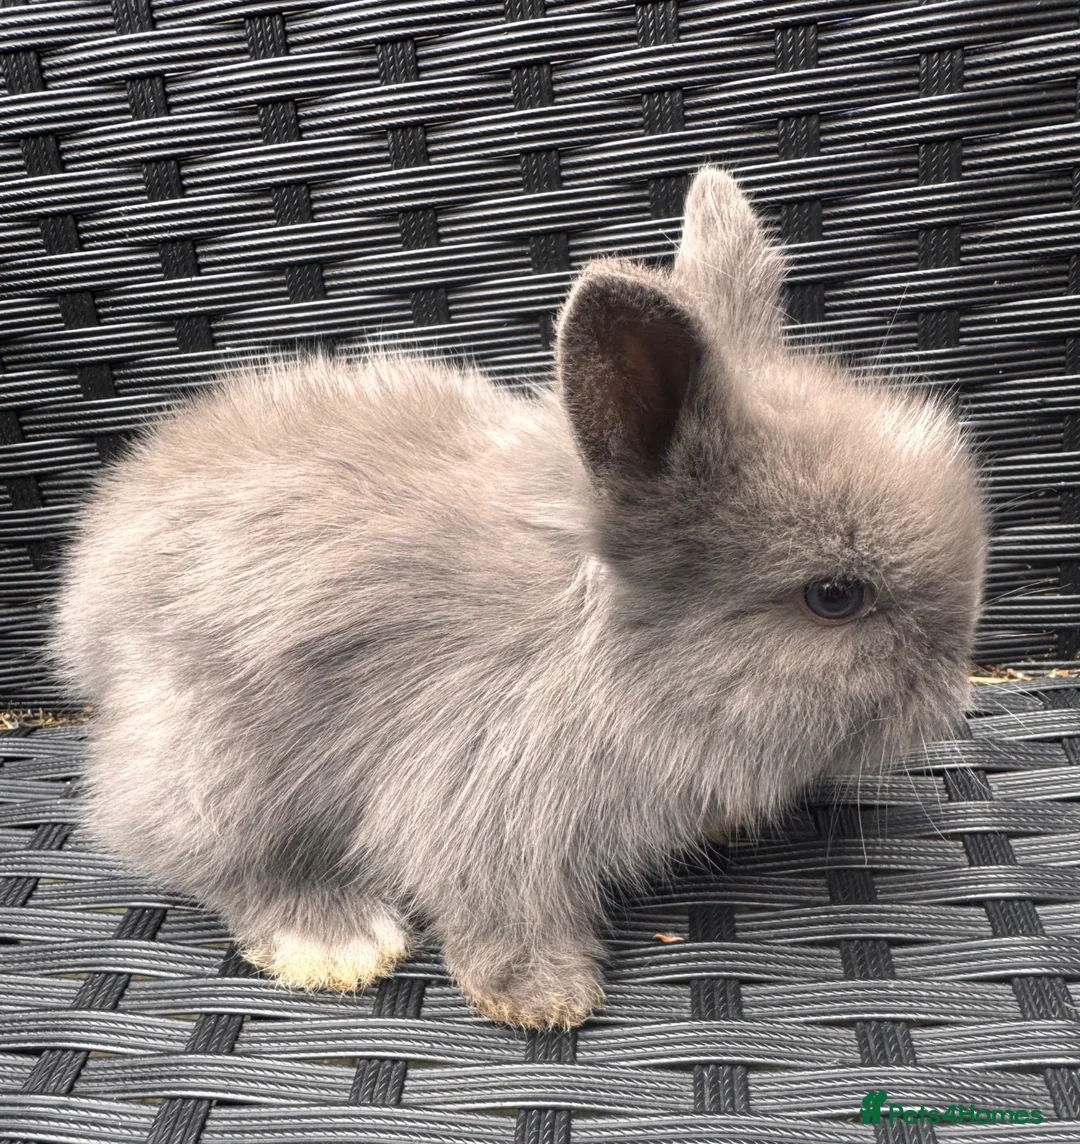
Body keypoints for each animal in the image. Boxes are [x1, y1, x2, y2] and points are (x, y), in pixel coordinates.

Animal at [50, 166, 986, 1029]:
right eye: (834, 597)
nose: (953, 700)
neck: (604, 649)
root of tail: (85, 598)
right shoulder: (482, 786)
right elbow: (498, 901)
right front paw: (544, 999)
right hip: (213, 751)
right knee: (178, 840)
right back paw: (335, 938)